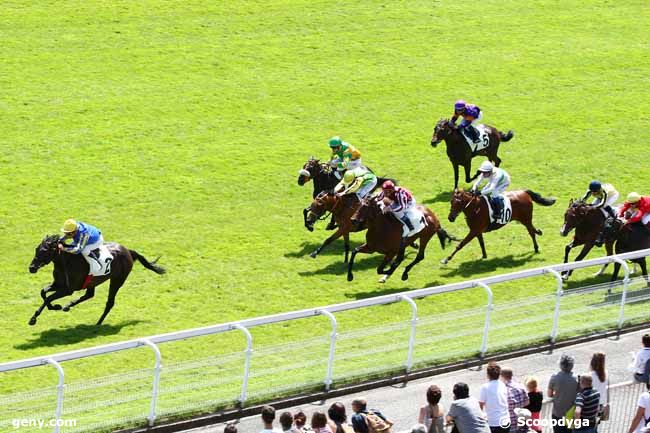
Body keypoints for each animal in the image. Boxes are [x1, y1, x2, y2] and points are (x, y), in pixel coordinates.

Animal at [28, 236, 165, 324]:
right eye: (36, 249)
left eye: (44, 251)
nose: (31, 268)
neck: (66, 262)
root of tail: (128, 251)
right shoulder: (58, 284)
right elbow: (43, 292)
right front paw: (54, 307)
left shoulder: (68, 290)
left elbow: (49, 297)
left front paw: (34, 318)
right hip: (93, 281)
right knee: (89, 295)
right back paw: (68, 306)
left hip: (117, 280)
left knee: (109, 302)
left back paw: (98, 323)